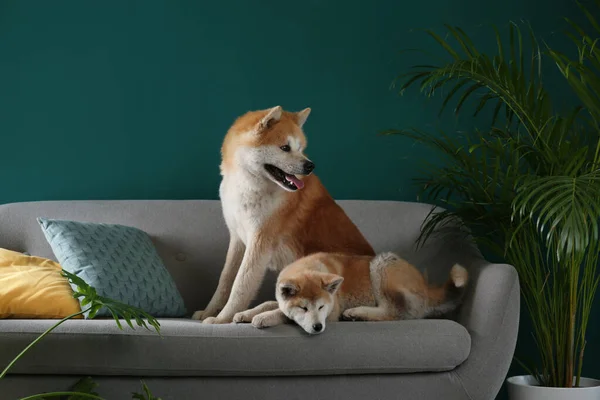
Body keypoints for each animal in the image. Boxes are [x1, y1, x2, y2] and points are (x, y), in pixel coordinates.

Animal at [192, 107, 372, 324]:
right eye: (285, 147)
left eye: (300, 148)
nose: (310, 166)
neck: (248, 186)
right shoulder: (237, 239)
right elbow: (225, 280)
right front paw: (209, 312)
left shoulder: (259, 242)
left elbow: (240, 285)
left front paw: (221, 319)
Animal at [233, 253, 468, 334]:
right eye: (303, 308)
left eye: (321, 307)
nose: (318, 328)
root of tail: (427, 286)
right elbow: (268, 303)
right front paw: (245, 314)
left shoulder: (331, 313)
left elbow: (282, 313)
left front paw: (263, 318)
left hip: (380, 264)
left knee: (392, 312)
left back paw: (357, 313)